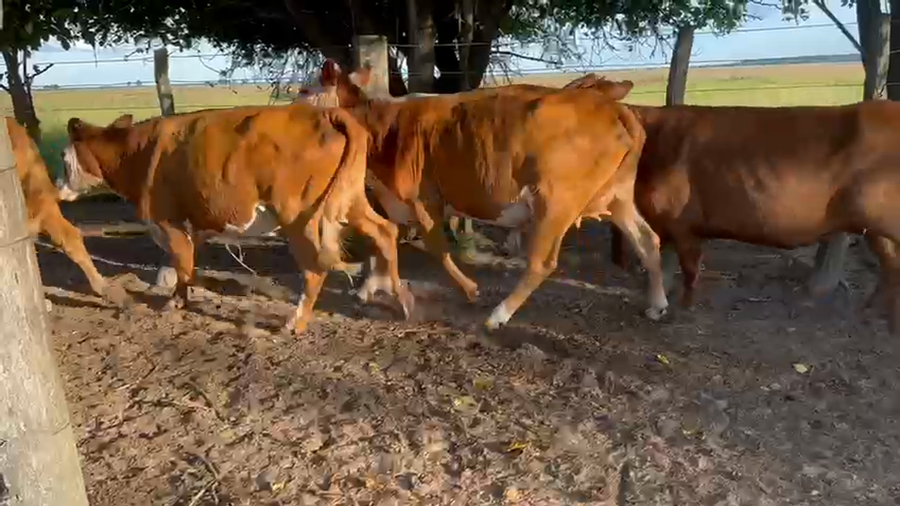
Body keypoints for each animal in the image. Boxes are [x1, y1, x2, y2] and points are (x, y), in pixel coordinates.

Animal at [56, 103, 415, 334]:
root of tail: (324, 111)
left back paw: (295, 323)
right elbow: (187, 264)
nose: (57, 186)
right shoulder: (195, 222)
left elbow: (182, 263)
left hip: (299, 215)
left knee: (315, 267)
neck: (136, 151)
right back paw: (404, 303)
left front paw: (176, 303)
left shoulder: (167, 221)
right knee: (385, 230)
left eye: (63, 156)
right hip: (348, 198)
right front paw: (183, 297)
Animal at [298, 60, 668, 330]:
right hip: (616, 197)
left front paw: (469, 289)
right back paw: (657, 305)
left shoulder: (424, 199)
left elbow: (437, 247)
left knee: (543, 262)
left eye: (303, 89)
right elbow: (384, 241)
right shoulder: (396, 201)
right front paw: (369, 285)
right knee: (648, 240)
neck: (386, 127)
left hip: (556, 201)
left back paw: (498, 315)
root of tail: (610, 106)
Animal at [564, 72, 900, 333]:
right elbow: (664, 259)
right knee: (891, 266)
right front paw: (659, 303)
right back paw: (874, 314)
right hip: (878, 231)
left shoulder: (682, 222)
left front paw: (682, 309)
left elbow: (688, 268)